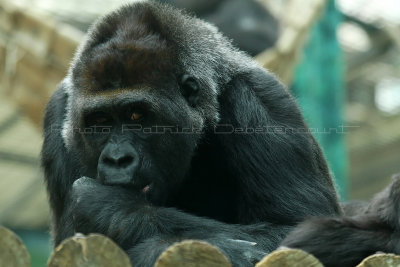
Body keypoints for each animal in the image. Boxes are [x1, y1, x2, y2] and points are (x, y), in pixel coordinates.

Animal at [41, 1, 400, 266]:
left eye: (137, 116)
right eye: (100, 121)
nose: (118, 159)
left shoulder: (260, 98)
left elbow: (296, 232)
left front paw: (115, 209)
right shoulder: (60, 110)